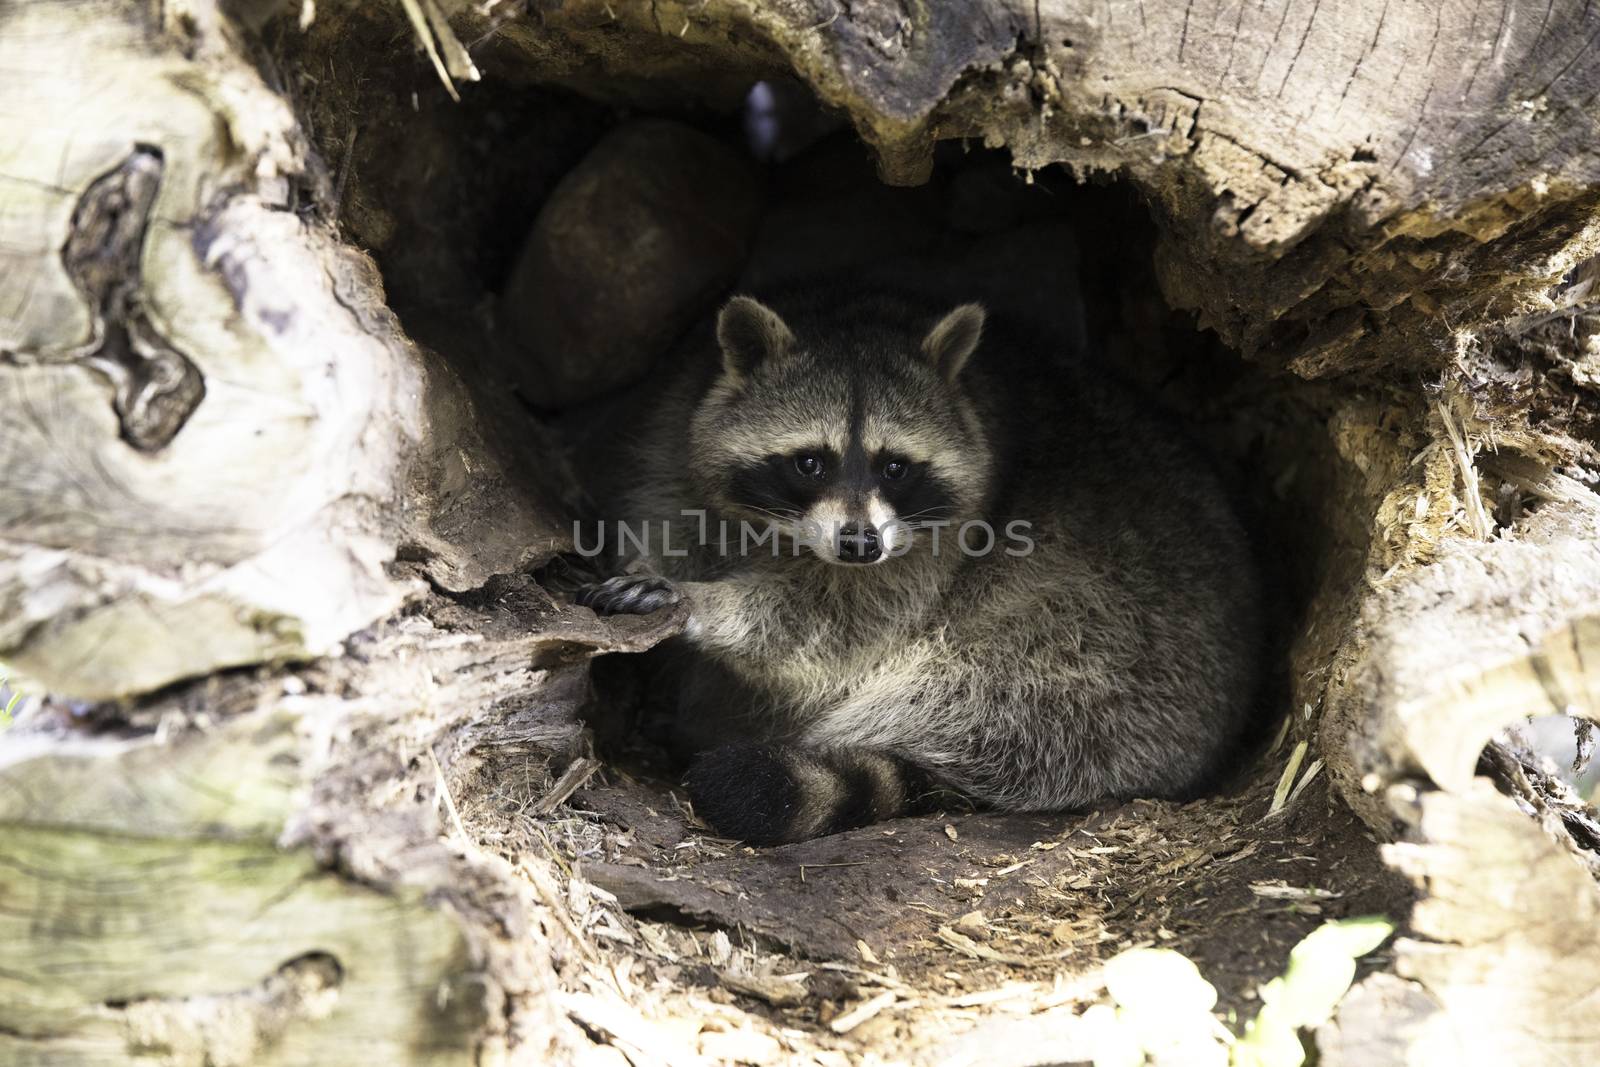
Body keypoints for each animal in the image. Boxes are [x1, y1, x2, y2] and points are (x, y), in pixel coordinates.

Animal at [576, 287, 1260, 844]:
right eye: (810, 462)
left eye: (895, 467)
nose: (859, 546)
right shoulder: (676, 423)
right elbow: (667, 511)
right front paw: (664, 566)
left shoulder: (947, 540)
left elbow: (833, 627)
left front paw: (703, 603)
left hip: (1112, 657)